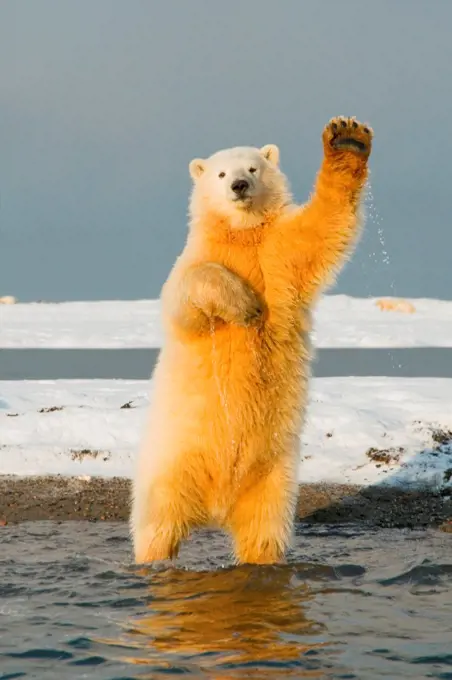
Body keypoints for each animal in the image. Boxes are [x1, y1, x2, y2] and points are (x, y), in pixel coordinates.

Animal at [132, 115, 374, 564]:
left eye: (253, 168)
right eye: (221, 174)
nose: (239, 186)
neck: (243, 235)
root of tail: (215, 507)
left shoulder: (279, 252)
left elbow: (322, 229)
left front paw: (348, 138)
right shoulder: (196, 260)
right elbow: (191, 291)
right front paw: (246, 306)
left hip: (272, 479)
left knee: (263, 532)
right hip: (167, 469)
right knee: (157, 526)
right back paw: (154, 557)